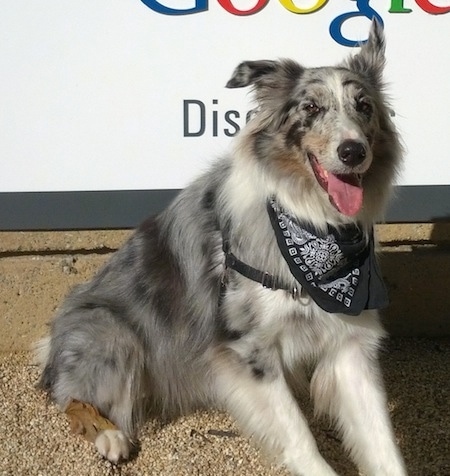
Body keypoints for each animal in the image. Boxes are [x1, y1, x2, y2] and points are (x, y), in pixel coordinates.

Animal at [36, 21, 408, 476]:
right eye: (311, 108)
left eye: (364, 106)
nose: (353, 151)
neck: (313, 227)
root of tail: (54, 340)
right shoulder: (247, 348)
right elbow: (299, 437)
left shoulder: (349, 343)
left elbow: (381, 444)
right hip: (111, 334)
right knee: (71, 397)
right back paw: (111, 436)